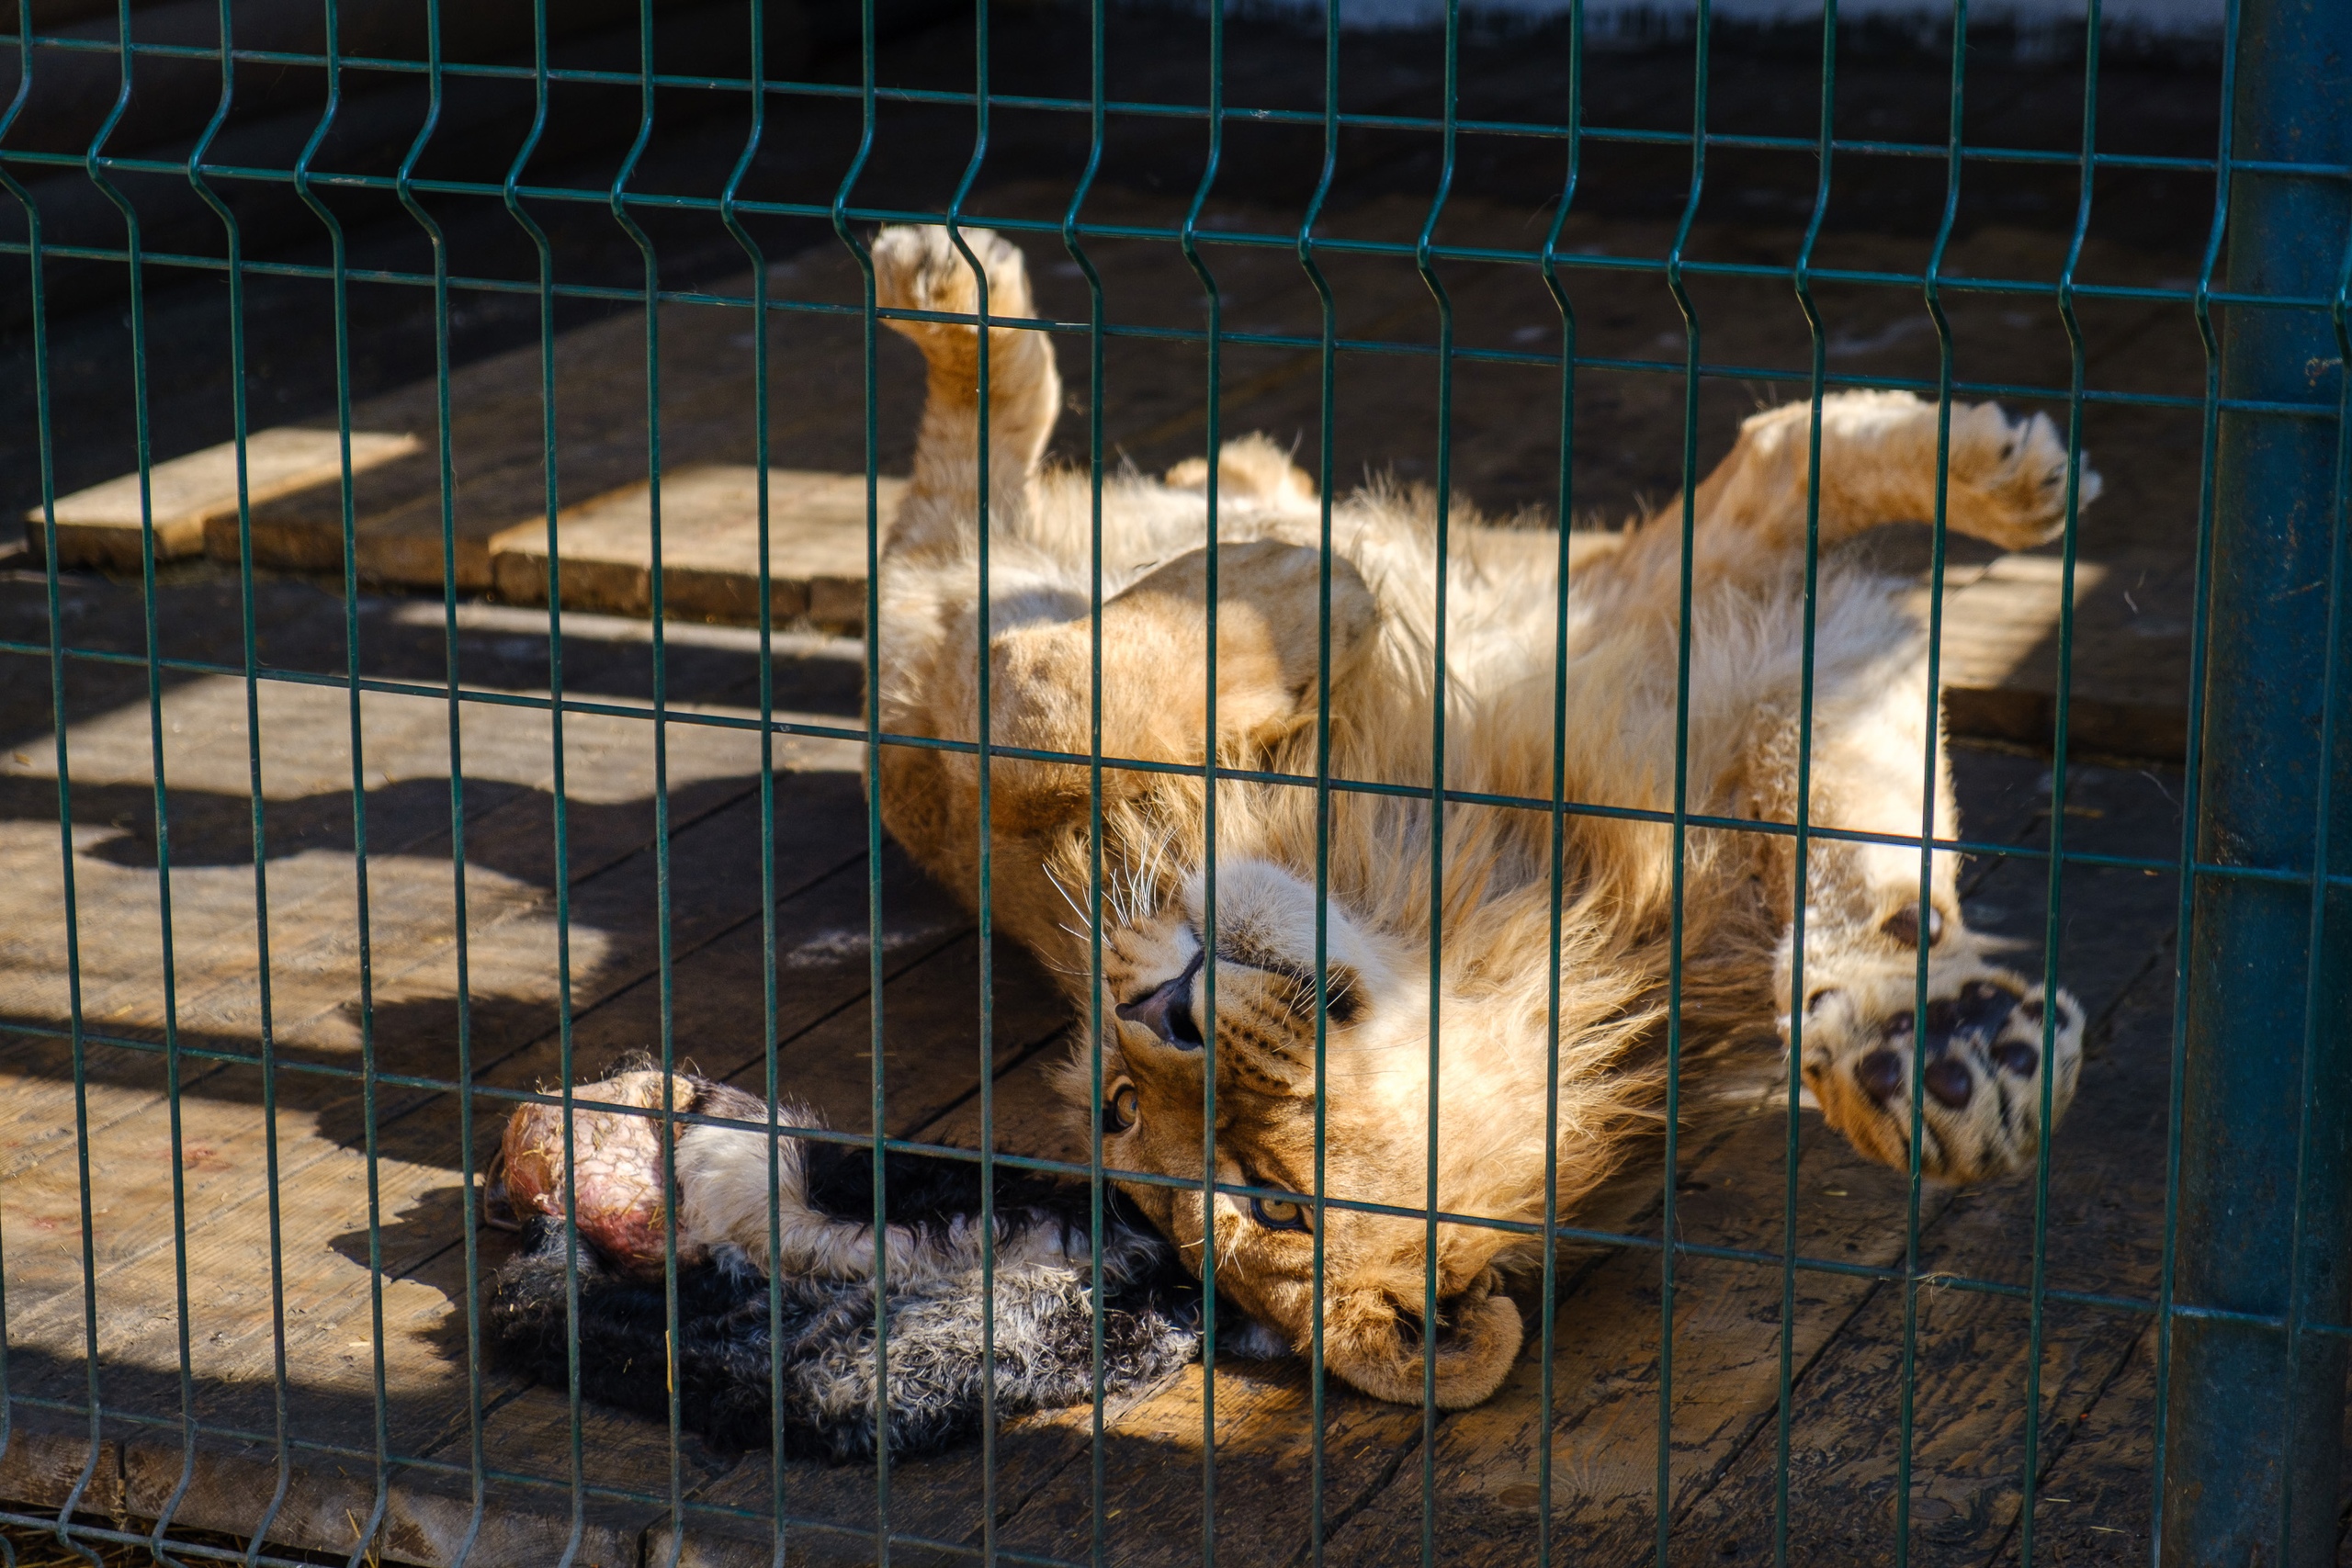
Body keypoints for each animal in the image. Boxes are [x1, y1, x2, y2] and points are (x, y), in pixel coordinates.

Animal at [865, 220, 2098, 1410]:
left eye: (1116, 1108)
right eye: (1276, 1206)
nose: (1156, 1011)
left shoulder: (1683, 645)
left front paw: (1931, 1041)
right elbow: (1029, 705)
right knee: (942, 517)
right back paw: (956, 297)